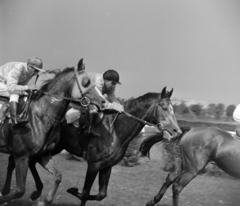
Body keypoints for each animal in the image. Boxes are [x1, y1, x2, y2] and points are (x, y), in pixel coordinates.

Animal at [0, 58, 106, 205]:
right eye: (86, 82)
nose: (103, 102)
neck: (39, 117)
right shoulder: (21, 156)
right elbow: (19, 190)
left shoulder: (43, 154)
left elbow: (58, 176)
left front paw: (43, 199)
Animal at [0, 87, 182, 206]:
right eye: (164, 107)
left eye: (173, 109)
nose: (177, 131)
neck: (115, 131)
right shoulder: (94, 164)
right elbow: (86, 193)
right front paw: (74, 191)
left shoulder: (107, 166)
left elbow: (101, 194)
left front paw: (74, 191)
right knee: (26, 161)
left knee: (28, 162)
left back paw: (34, 191)